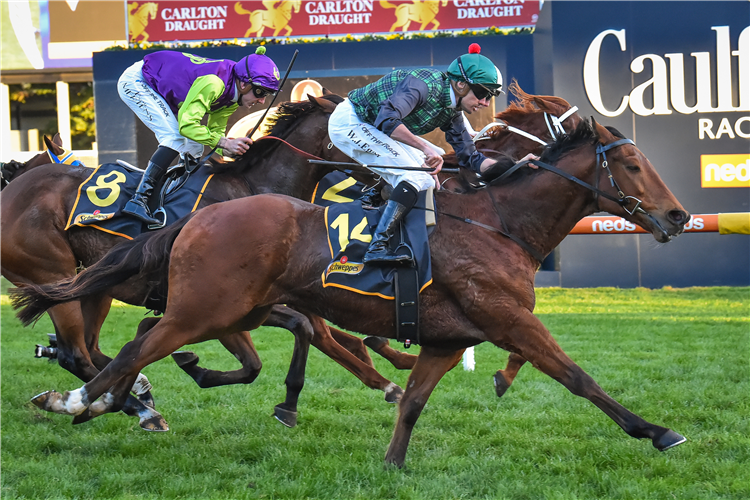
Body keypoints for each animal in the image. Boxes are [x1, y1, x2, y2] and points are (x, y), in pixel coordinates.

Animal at [13, 116, 692, 464]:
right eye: (632, 164)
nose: (679, 215)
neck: (500, 224)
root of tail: (198, 217)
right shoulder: (508, 319)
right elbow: (578, 377)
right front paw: (656, 430)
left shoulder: (448, 339)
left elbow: (413, 400)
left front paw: (392, 462)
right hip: (207, 308)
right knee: (126, 350)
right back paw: (81, 402)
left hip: (227, 311)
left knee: (135, 342)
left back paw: (118, 399)